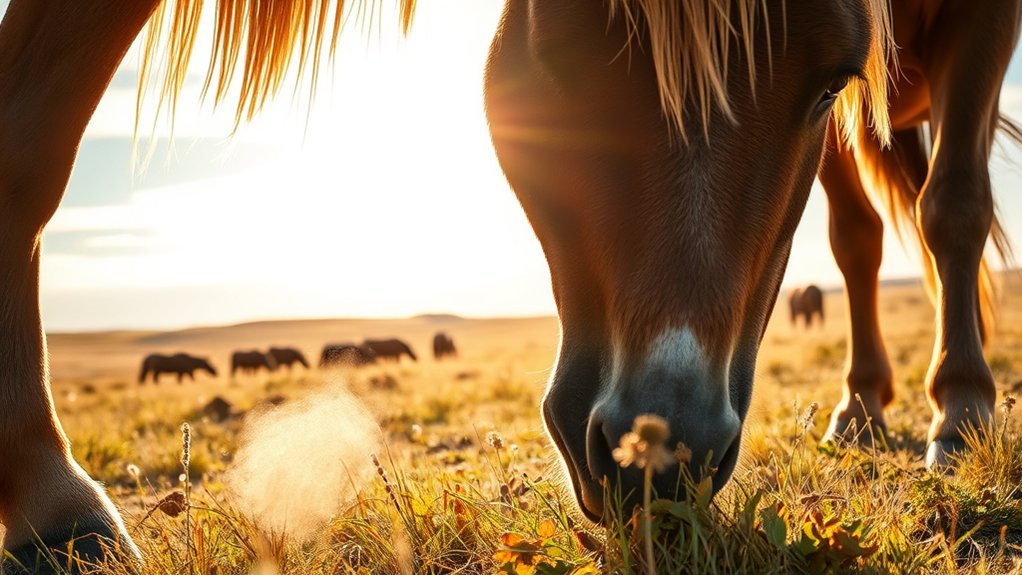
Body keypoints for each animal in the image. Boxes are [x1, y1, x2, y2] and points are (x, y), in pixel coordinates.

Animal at [1, 0, 1019, 569]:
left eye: (828, 81)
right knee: (855, 237)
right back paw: (862, 402)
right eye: (558, 51)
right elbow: (30, 140)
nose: (660, 456)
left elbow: (955, 205)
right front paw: (55, 512)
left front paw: (964, 410)